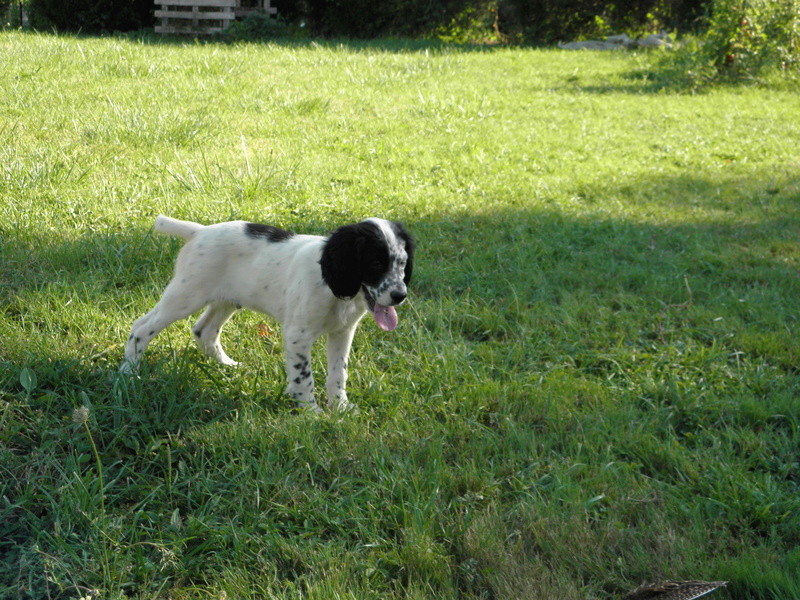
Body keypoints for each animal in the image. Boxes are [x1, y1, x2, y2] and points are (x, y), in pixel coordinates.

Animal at [123, 216, 418, 412]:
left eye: (403, 264)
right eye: (376, 263)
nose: (400, 295)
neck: (331, 285)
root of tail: (200, 231)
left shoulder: (342, 333)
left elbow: (338, 373)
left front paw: (340, 408)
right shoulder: (298, 334)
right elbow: (303, 376)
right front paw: (311, 412)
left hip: (227, 299)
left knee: (204, 330)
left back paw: (227, 365)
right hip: (186, 295)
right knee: (141, 328)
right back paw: (129, 374)